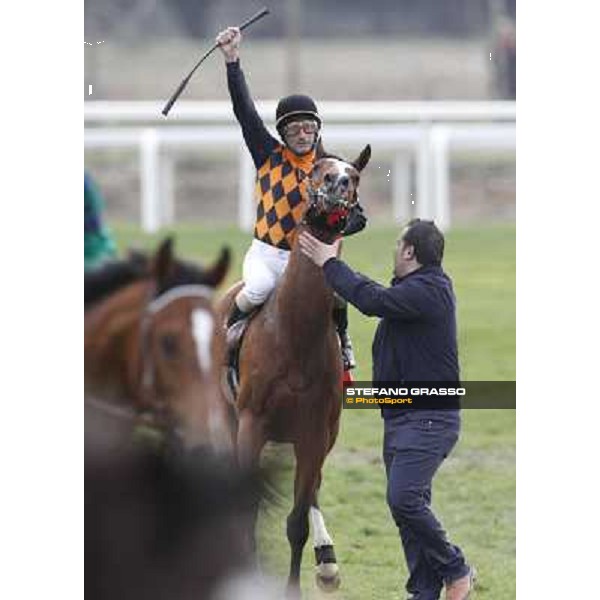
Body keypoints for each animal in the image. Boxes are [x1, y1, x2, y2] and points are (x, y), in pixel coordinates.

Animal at [219, 145, 370, 596]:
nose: (338, 184)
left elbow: (298, 521)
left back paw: (327, 563)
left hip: (324, 435)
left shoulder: (314, 433)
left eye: (354, 175)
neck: (294, 334)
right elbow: (247, 507)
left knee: (314, 488)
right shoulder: (251, 424)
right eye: (320, 170)